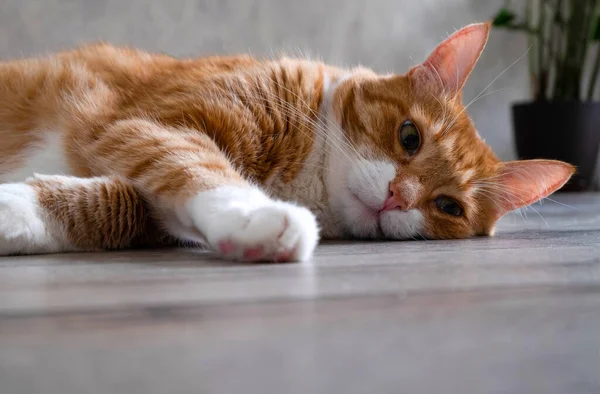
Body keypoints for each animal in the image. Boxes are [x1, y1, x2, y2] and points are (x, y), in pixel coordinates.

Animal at [0, 22, 572, 262]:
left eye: (448, 206)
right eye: (409, 137)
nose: (398, 197)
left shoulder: (136, 167)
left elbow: (115, 205)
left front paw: (13, 212)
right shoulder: (143, 124)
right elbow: (195, 165)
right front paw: (257, 214)